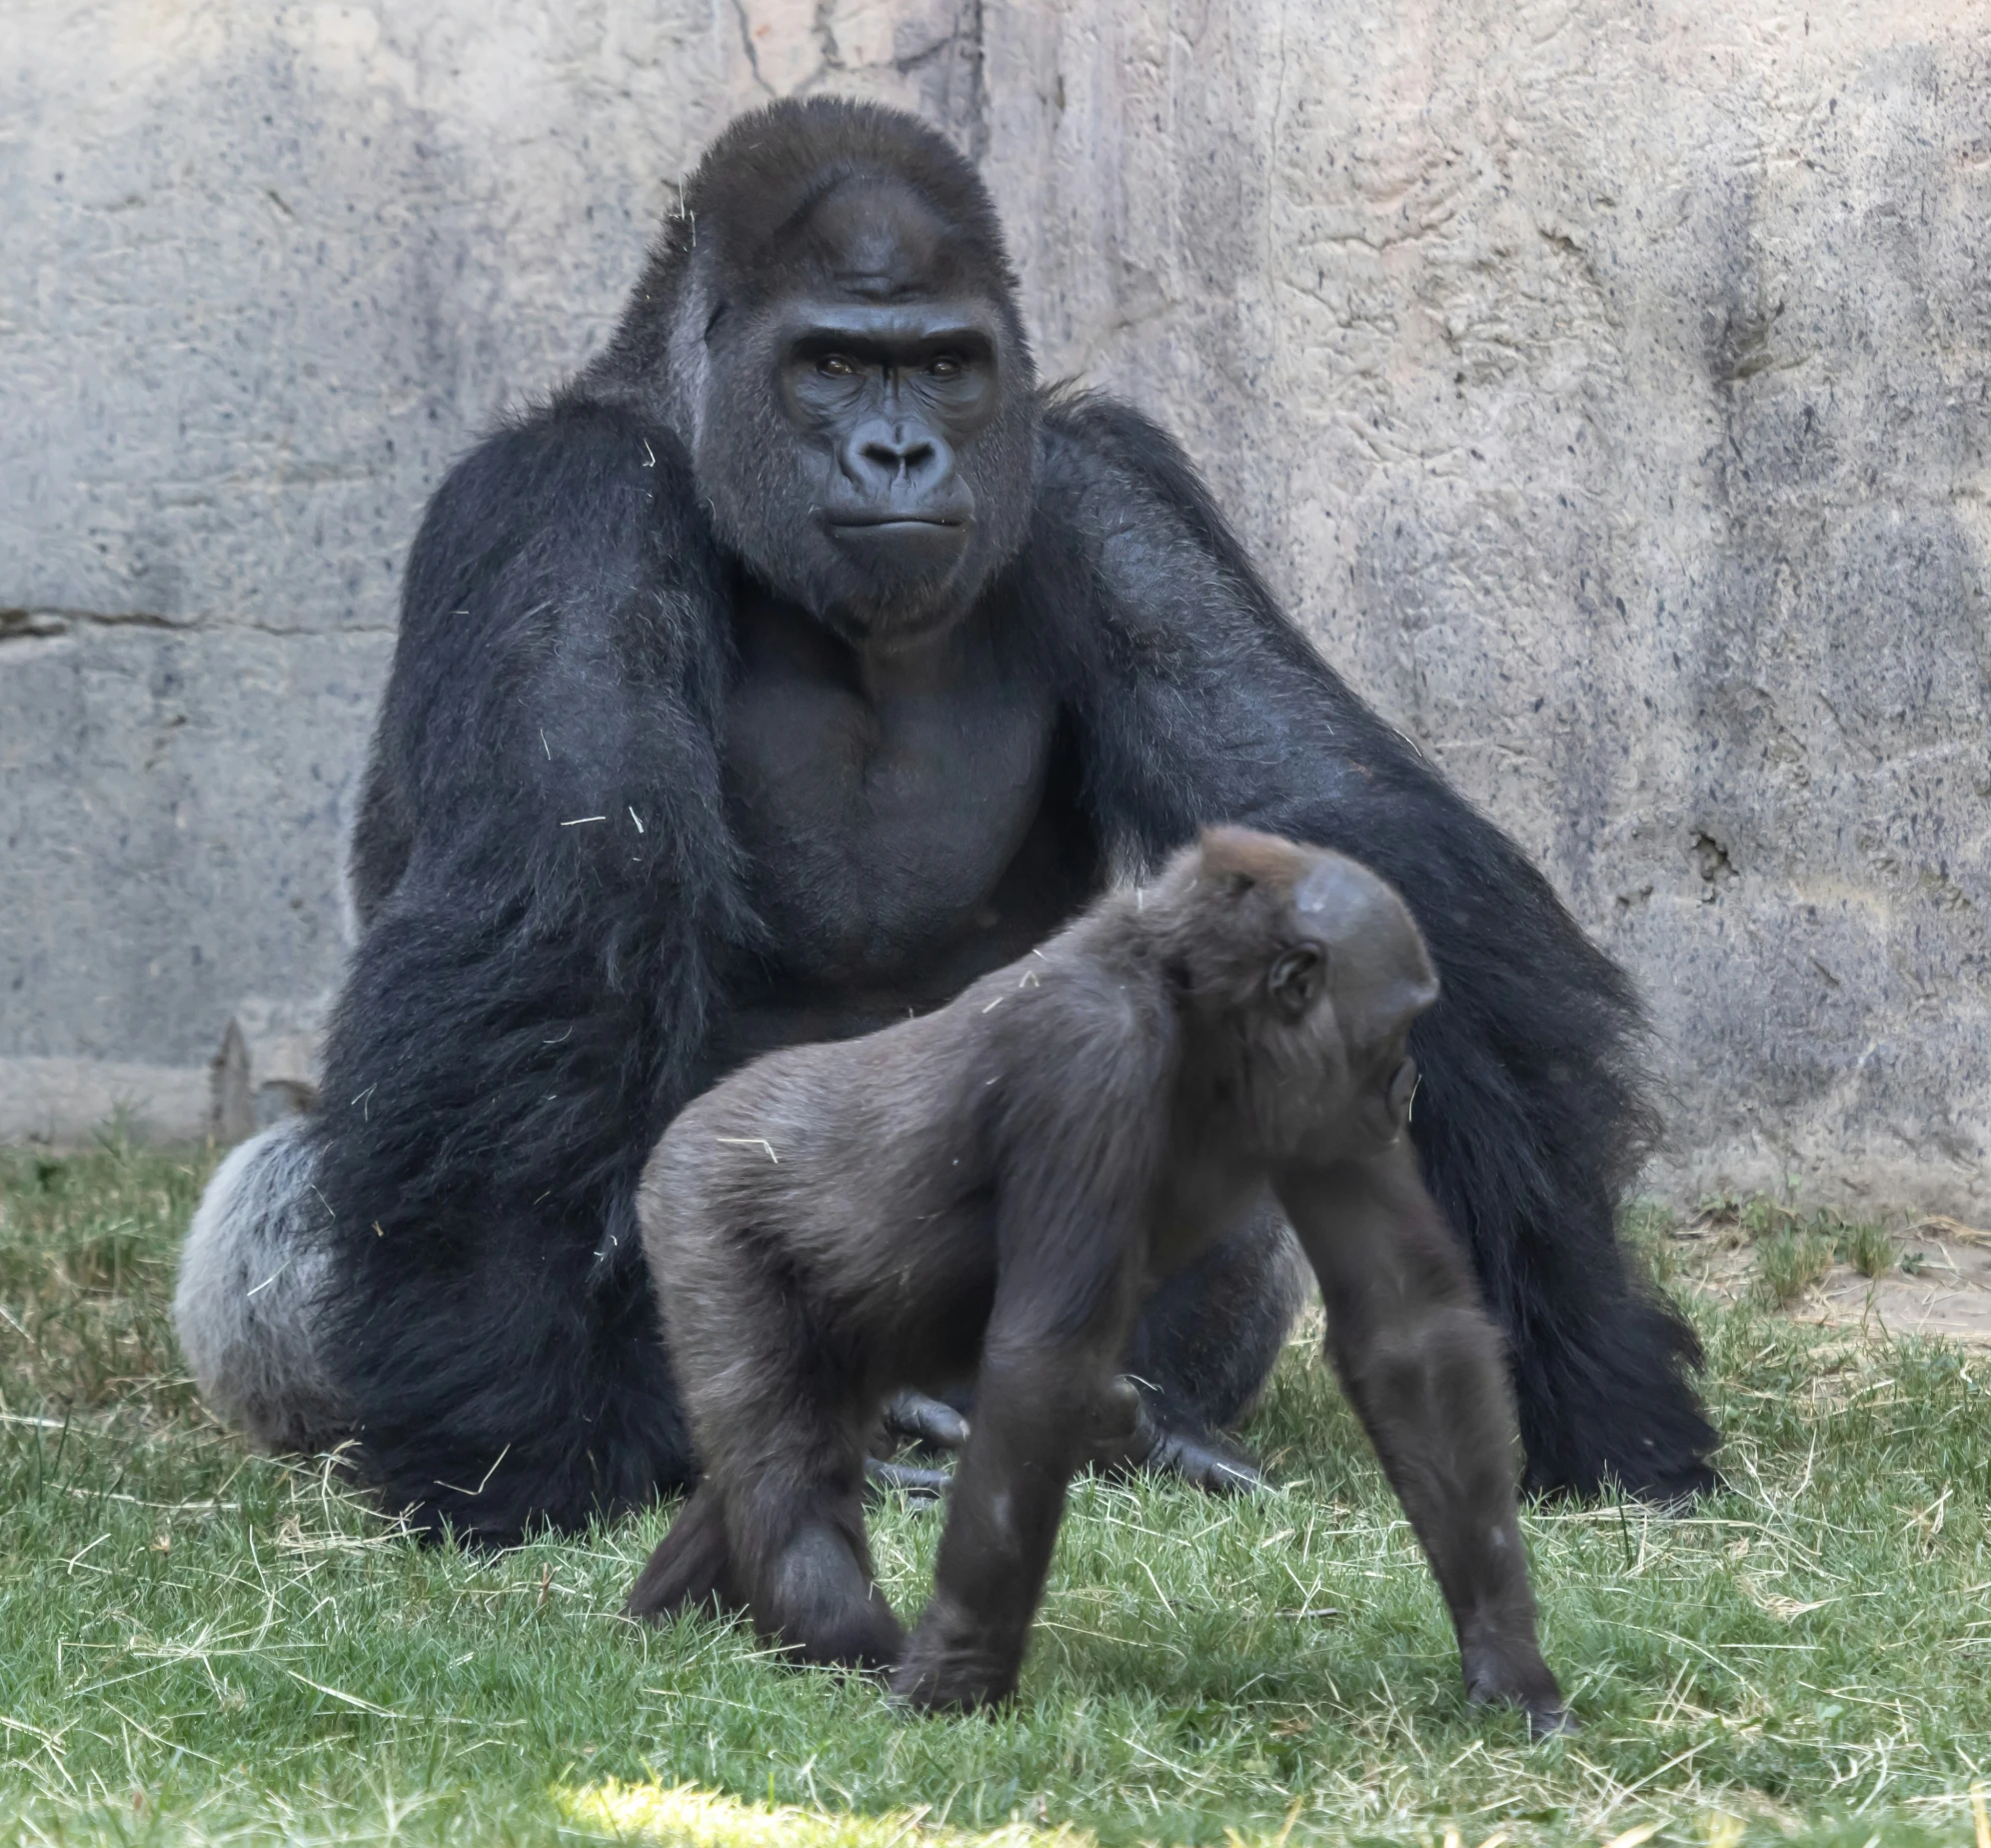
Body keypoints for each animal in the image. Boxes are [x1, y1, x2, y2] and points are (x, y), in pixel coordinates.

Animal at [179, 101, 1720, 1545]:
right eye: (830, 364)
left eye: (941, 364)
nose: (900, 450)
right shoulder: (560, 504)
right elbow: (562, 910)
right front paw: (518, 1438)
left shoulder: (1105, 482)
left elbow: (1339, 835)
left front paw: (1588, 1351)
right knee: (291, 1193)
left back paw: (1107, 1412)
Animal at [629, 828, 1560, 1728]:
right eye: (1394, 1025)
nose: (1404, 1084)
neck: (1193, 1006)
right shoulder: (1092, 1057)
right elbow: (1042, 1371)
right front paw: (956, 1681)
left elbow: (1407, 1330)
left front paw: (1504, 1656)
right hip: (700, 1203)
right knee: (786, 1468)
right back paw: (838, 1638)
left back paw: (666, 1610)